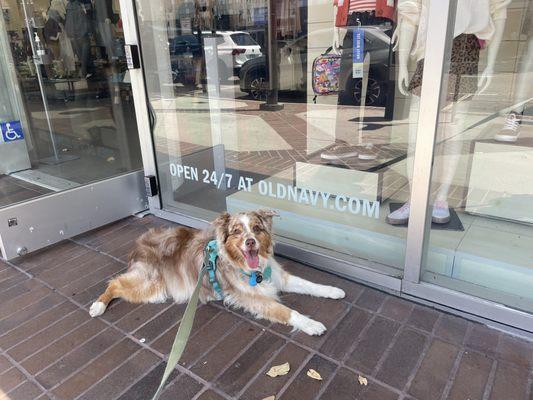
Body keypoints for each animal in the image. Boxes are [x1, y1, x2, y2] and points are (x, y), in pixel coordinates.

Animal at [89, 211, 342, 336]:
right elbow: (287, 311)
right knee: (114, 284)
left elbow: (309, 284)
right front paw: (311, 325)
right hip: (150, 284)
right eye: (237, 231)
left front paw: (333, 291)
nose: (250, 242)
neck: (254, 270)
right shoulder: (253, 298)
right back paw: (97, 305)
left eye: (257, 229)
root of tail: (139, 242)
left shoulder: (279, 277)